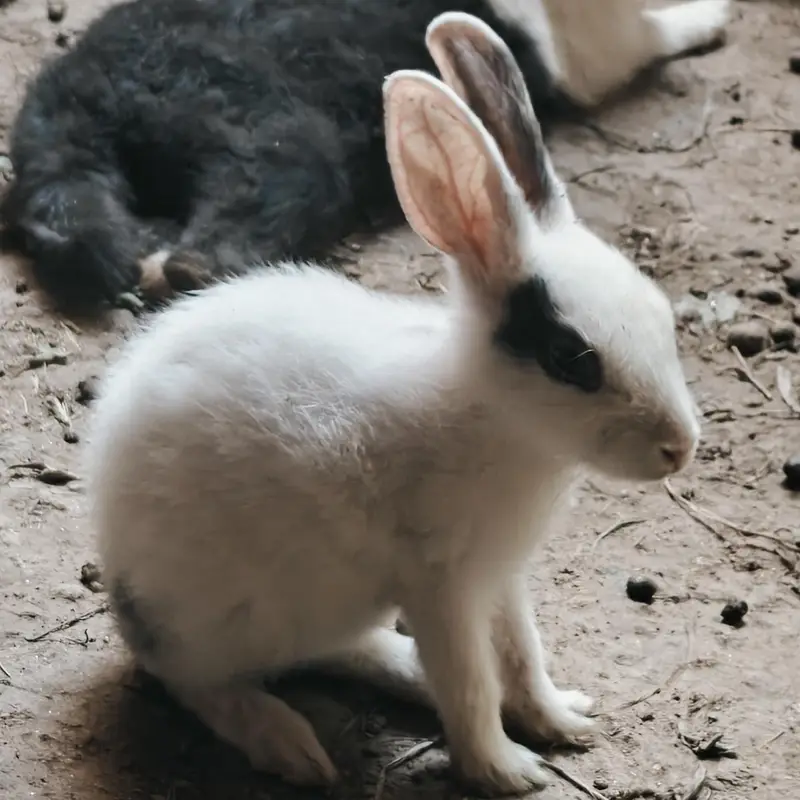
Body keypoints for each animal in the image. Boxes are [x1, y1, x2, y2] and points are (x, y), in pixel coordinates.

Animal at [1, 0, 731, 311]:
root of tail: (93, 90)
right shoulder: (589, 50)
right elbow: (655, 31)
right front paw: (714, 17)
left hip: (69, 161)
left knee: (72, 211)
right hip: (279, 138)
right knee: (241, 210)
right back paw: (180, 267)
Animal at [87, 10, 702, 794]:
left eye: (659, 311)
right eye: (572, 358)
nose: (679, 447)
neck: (493, 419)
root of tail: (126, 593)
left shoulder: (500, 577)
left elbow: (521, 653)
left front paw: (562, 719)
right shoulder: (441, 585)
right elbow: (469, 682)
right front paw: (507, 770)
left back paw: (400, 674)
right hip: (224, 619)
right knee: (196, 681)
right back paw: (287, 743)